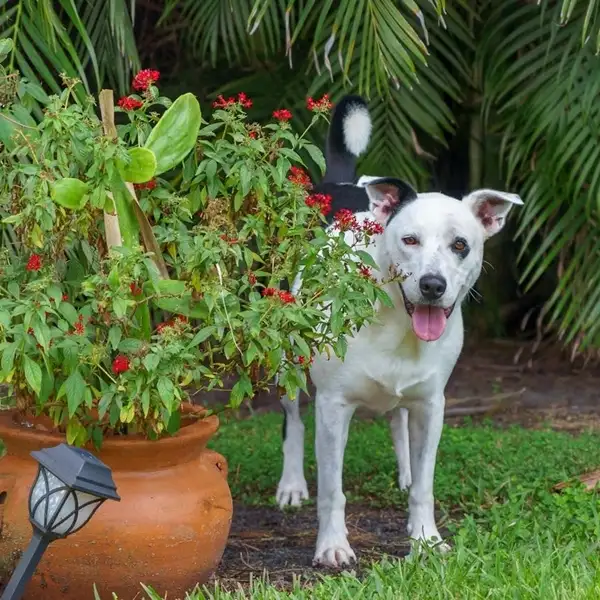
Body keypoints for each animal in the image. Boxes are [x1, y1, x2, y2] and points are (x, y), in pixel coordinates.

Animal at [276, 94, 520, 568]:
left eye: (460, 244)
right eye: (409, 240)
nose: (432, 285)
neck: (396, 322)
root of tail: (337, 181)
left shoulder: (432, 405)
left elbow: (426, 484)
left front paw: (425, 538)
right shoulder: (332, 408)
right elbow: (332, 490)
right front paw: (332, 545)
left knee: (398, 419)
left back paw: (404, 471)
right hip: (284, 361)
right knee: (292, 421)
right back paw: (292, 483)